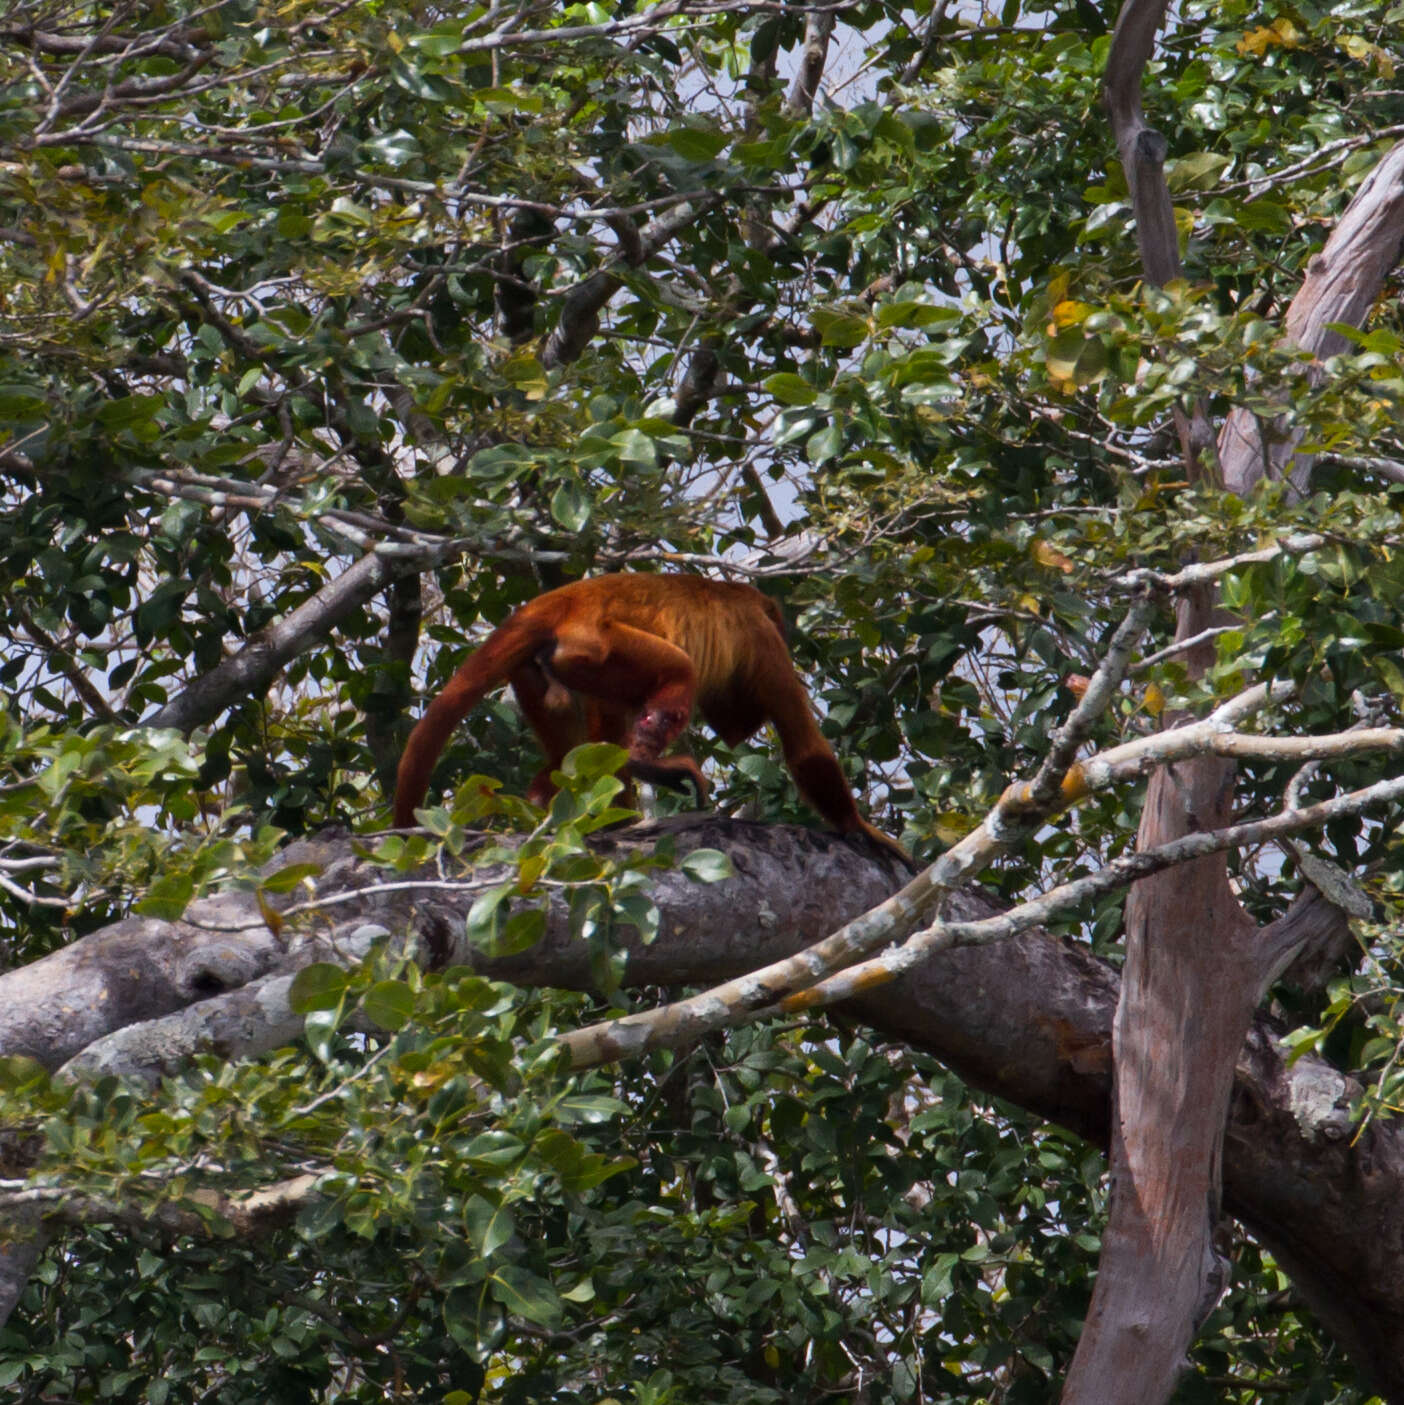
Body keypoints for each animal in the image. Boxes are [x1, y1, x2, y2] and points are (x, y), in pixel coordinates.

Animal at [393, 567, 910, 854]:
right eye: (781, 631)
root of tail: (556, 603)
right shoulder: (764, 642)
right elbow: (804, 747)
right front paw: (859, 827)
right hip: (596, 644)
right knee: (679, 669)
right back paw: (643, 763)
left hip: (547, 669)